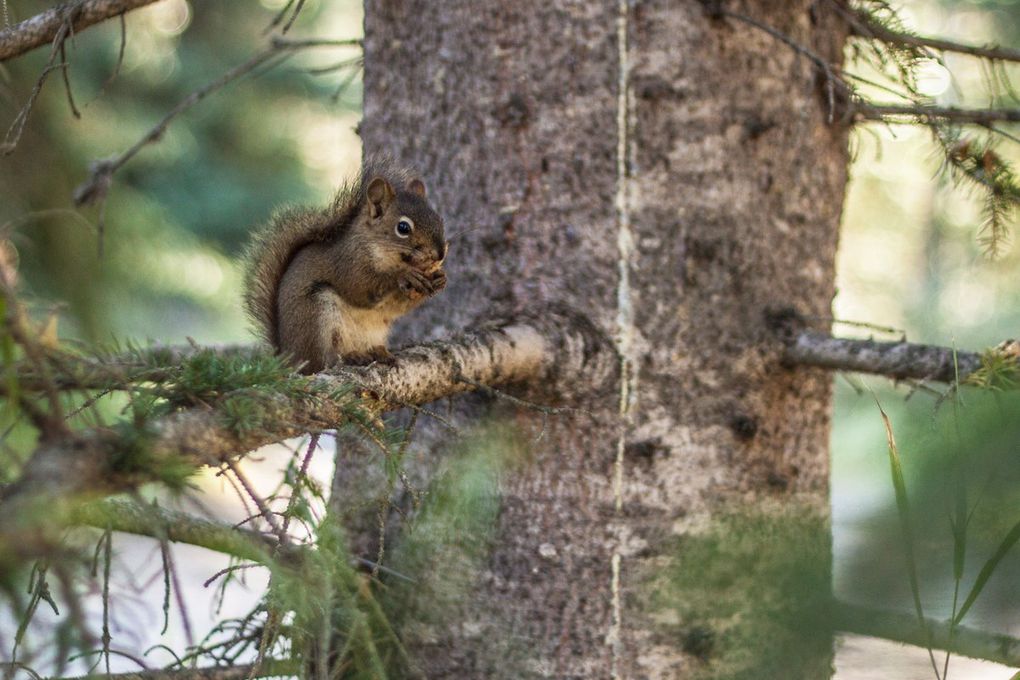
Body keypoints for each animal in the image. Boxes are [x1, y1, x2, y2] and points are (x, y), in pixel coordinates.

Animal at [242, 158, 446, 375]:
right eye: (403, 228)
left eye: (439, 219)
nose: (440, 253)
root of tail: (289, 358)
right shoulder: (346, 263)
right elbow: (359, 289)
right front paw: (403, 275)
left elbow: (396, 308)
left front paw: (440, 279)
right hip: (316, 316)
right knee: (323, 361)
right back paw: (349, 357)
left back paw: (378, 352)